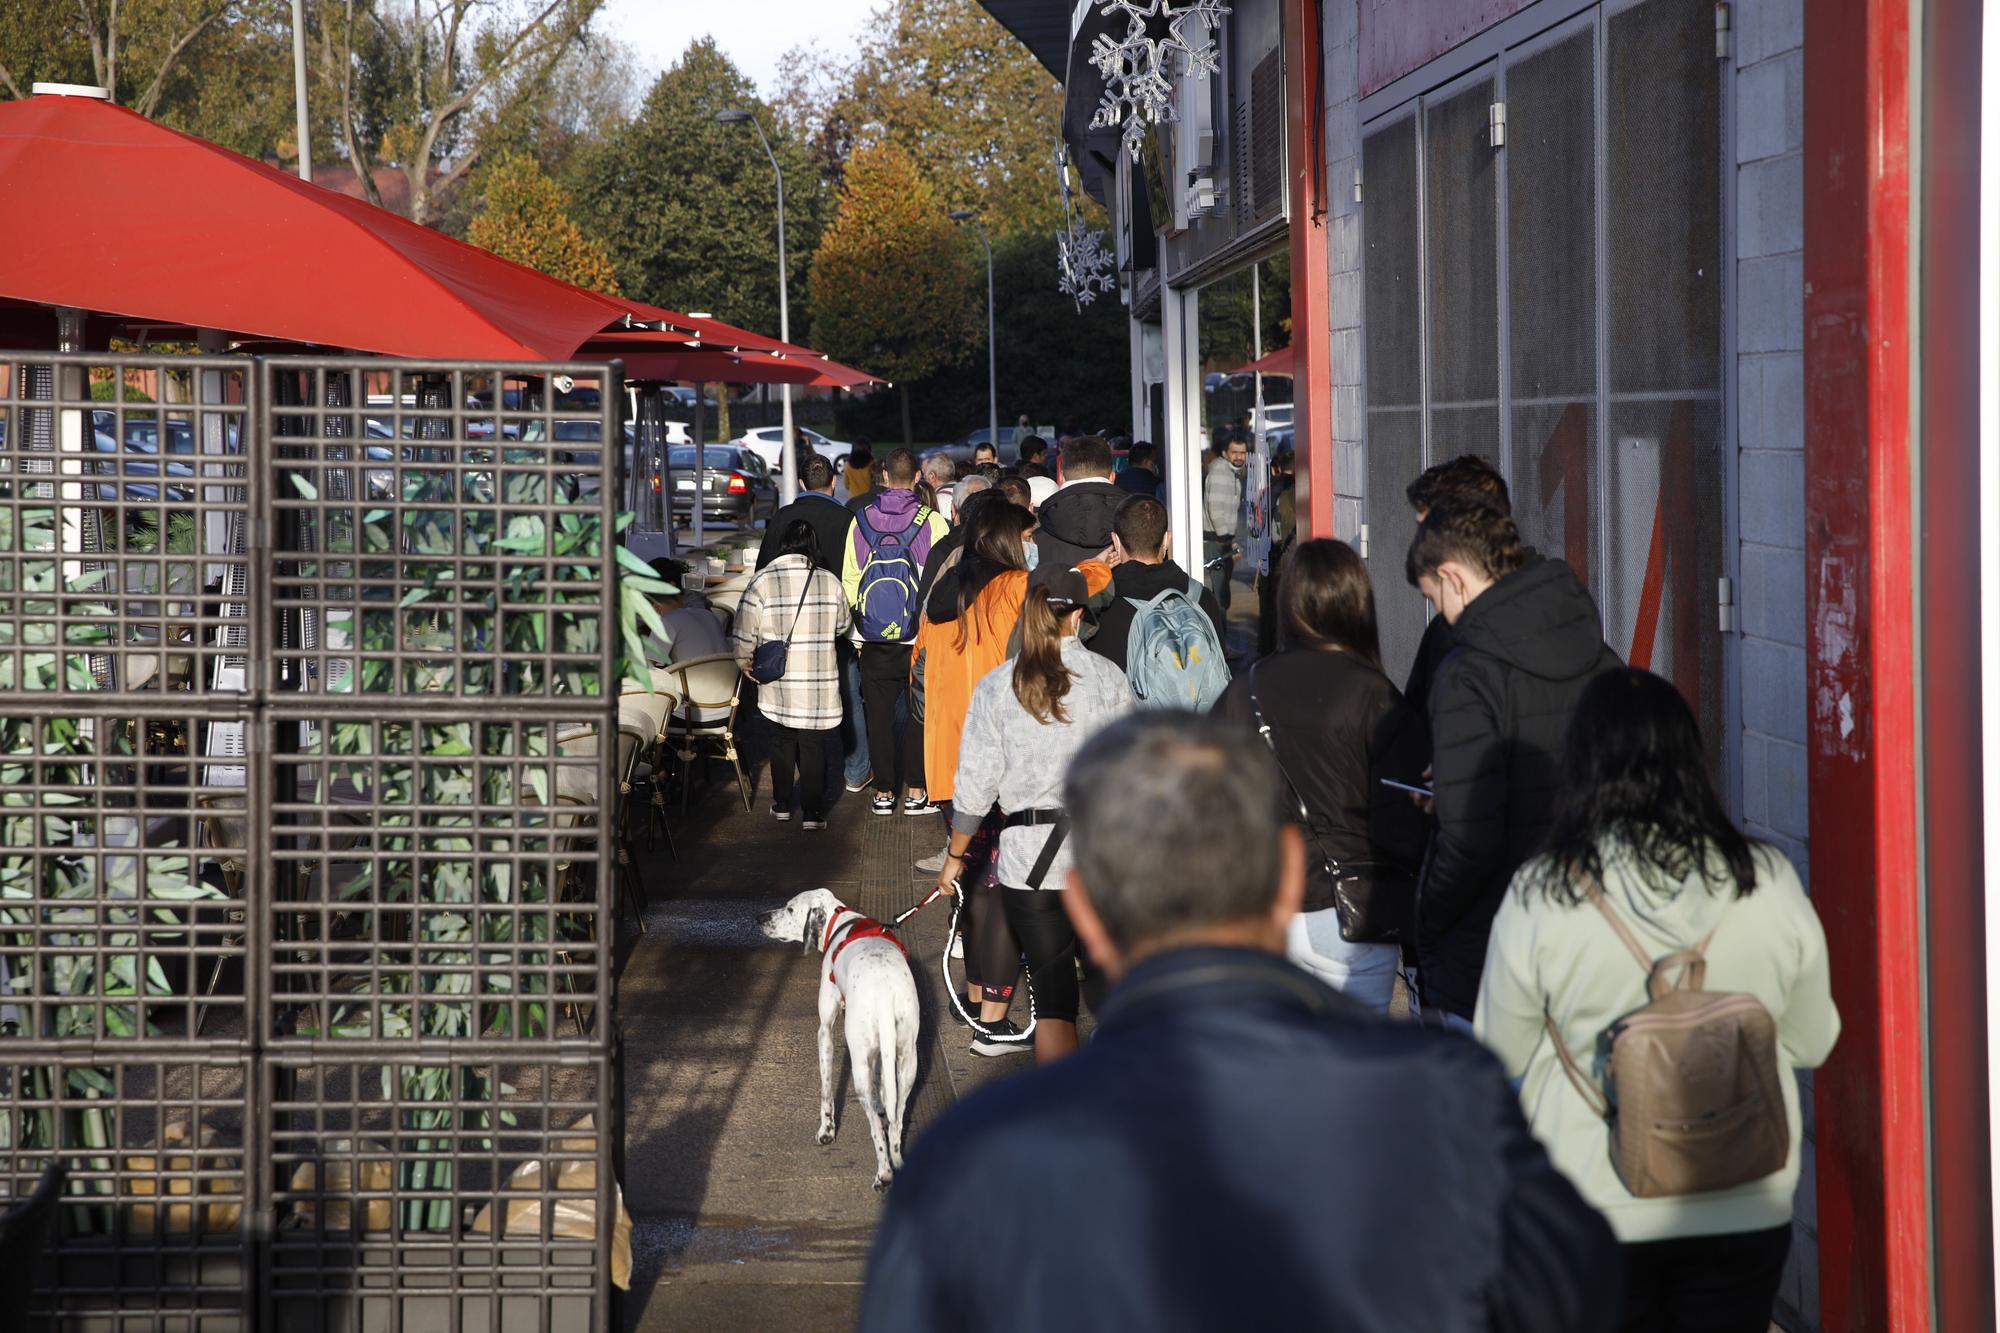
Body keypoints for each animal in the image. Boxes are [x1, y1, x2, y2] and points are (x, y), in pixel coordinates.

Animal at [756, 880, 920, 1184]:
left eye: (790, 908)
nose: (759, 918)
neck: (840, 921)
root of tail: (884, 989)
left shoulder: (825, 1032)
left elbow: (825, 1091)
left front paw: (826, 1130)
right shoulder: (882, 1054)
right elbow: (883, 1084)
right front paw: (882, 1101)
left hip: (858, 1068)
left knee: (876, 1128)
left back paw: (883, 1173)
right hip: (907, 1063)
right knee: (896, 1122)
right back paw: (897, 1162)